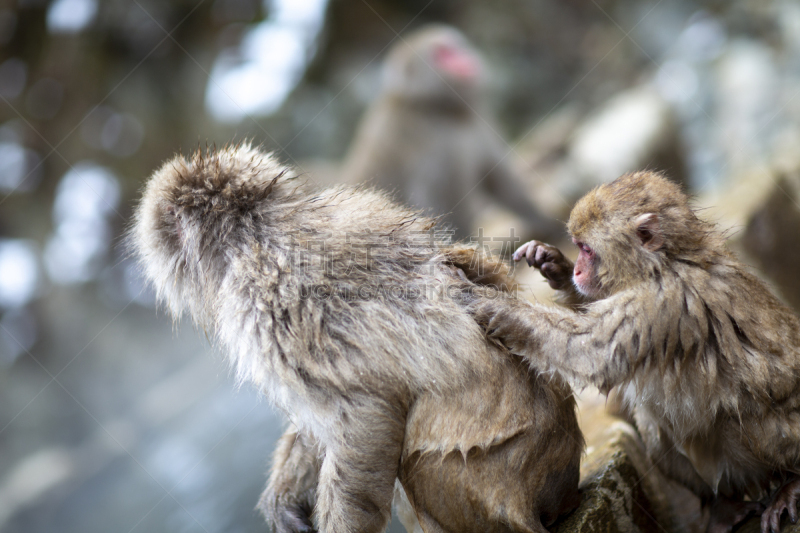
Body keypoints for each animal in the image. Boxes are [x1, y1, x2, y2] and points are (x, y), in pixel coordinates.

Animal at [342, 24, 564, 241]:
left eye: (455, 47)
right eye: (442, 54)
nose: (466, 57)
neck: (442, 109)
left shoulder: (478, 123)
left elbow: (497, 176)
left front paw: (540, 219)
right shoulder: (436, 145)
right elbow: (440, 200)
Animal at [472, 171, 800, 532]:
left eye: (587, 249)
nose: (578, 271)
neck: (664, 261)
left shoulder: (657, 303)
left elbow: (590, 353)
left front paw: (493, 305)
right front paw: (552, 265)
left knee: (744, 422)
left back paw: (791, 483)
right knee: (655, 422)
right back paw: (721, 507)